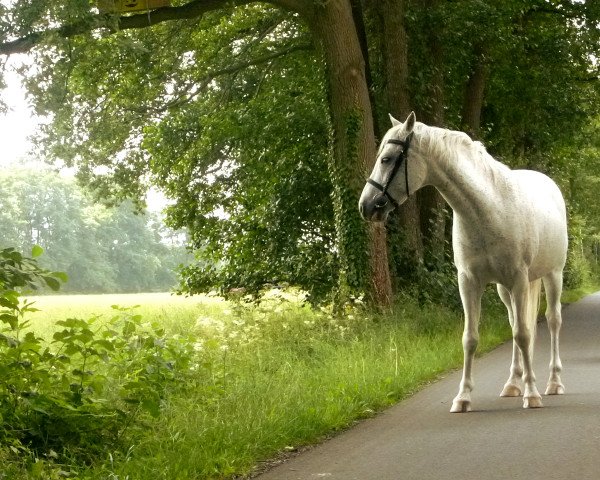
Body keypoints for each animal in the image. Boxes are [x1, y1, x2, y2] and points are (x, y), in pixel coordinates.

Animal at [358, 112, 568, 412]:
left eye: (387, 158)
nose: (366, 206)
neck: (488, 208)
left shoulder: (518, 279)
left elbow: (524, 335)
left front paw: (532, 394)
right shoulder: (469, 281)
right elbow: (471, 338)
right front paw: (463, 397)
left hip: (552, 276)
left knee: (552, 321)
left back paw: (552, 383)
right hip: (505, 290)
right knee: (515, 323)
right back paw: (512, 384)